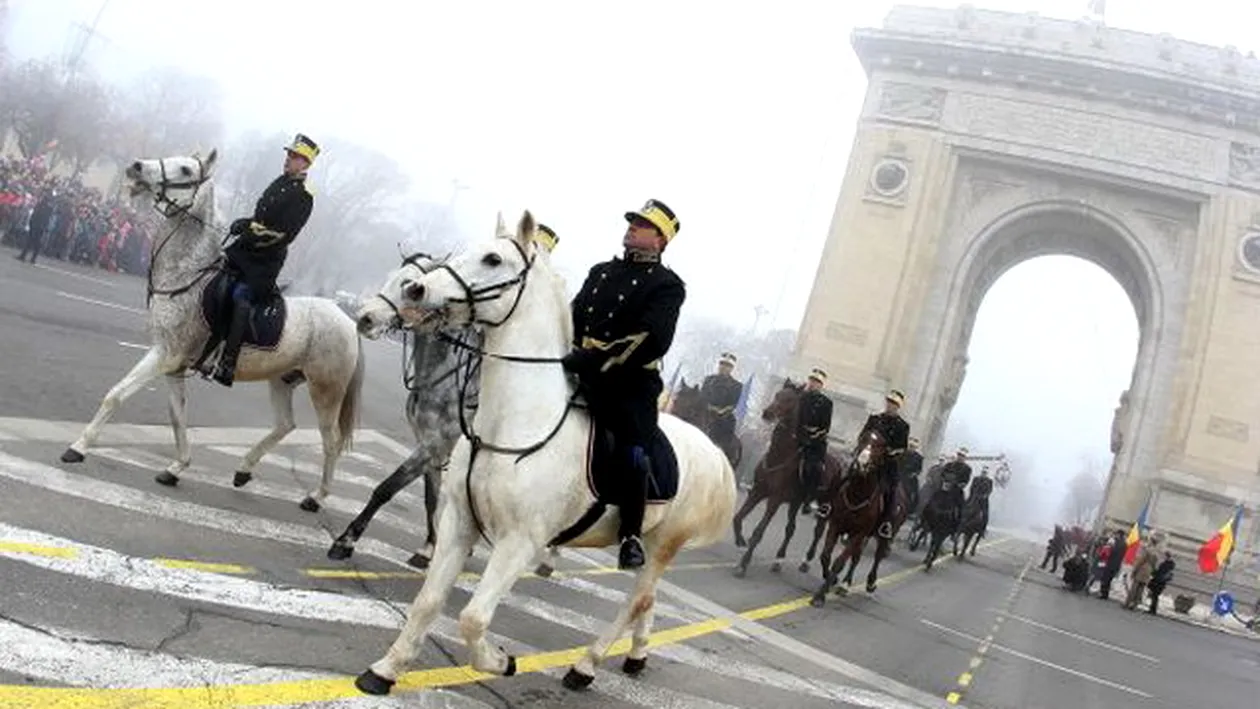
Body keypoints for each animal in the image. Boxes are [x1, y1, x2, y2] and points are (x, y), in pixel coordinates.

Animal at [61, 149, 367, 511]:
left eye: (185, 169)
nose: (136, 167)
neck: (188, 276)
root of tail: (347, 320)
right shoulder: (174, 366)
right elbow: (178, 416)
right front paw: (177, 467)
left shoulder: (164, 355)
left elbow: (116, 395)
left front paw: (78, 447)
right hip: (282, 381)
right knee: (285, 425)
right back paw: (244, 470)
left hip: (326, 391)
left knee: (330, 441)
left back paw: (315, 496)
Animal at [347, 209, 735, 695]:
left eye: (493, 259)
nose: (416, 291)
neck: (512, 420)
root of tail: (712, 450)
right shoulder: (459, 518)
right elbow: (428, 599)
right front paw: (385, 669)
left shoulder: (519, 541)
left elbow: (473, 618)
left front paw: (499, 660)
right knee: (647, 601)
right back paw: (637, 655)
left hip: (663, 543)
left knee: (636, 601)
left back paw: (586, 665)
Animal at [730, 377, 836, 576]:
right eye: (777, 395)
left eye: (790, 400)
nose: (767, 413)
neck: (778, 456)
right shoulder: (758, 491)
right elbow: (738, 517)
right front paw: (740, 540)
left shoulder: (775, 499)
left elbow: (758, 532)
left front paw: (743, 564)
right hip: (794, 503)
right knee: (790, 529)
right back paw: (778, 560)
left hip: (825, 507)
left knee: (818, 531)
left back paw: (806, 561)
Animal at [811, 430, 912, 606]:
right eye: (862, 439)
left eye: (879, 447)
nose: (861, 464)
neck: (857, 495)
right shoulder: (836, 525)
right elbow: (826, 555)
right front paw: (830, 579)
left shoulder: (858, 533)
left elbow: (839, 562)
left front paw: (820, 595)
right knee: (856, 557)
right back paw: (845, 584)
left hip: (886, 532)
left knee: (878, 556)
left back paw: (870, 583)